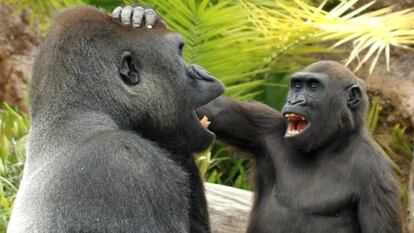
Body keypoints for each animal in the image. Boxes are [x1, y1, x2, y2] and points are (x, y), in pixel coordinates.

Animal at [197, 61, 402, 232]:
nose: (294, 101)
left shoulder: (377, 174)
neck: (329, 145)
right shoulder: (265, 127)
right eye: (297, 85)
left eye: (313, 86)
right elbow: (214, 110)